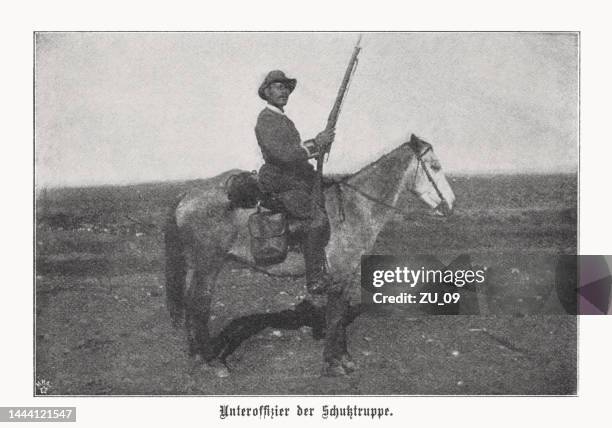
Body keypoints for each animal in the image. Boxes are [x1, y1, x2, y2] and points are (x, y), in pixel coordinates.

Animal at [163, 134, 454, 378]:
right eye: (435, 166)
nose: (450, 205)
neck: (355, 207)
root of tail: (186, 195)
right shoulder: (339, 274)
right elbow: (335, 316)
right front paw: (334, 363)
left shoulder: (347, 275)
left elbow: (340, 315)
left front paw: (344, 359)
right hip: (208, 264)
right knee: (199, 305)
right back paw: (211, 362)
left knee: (190, 303)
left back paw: (196, 356)